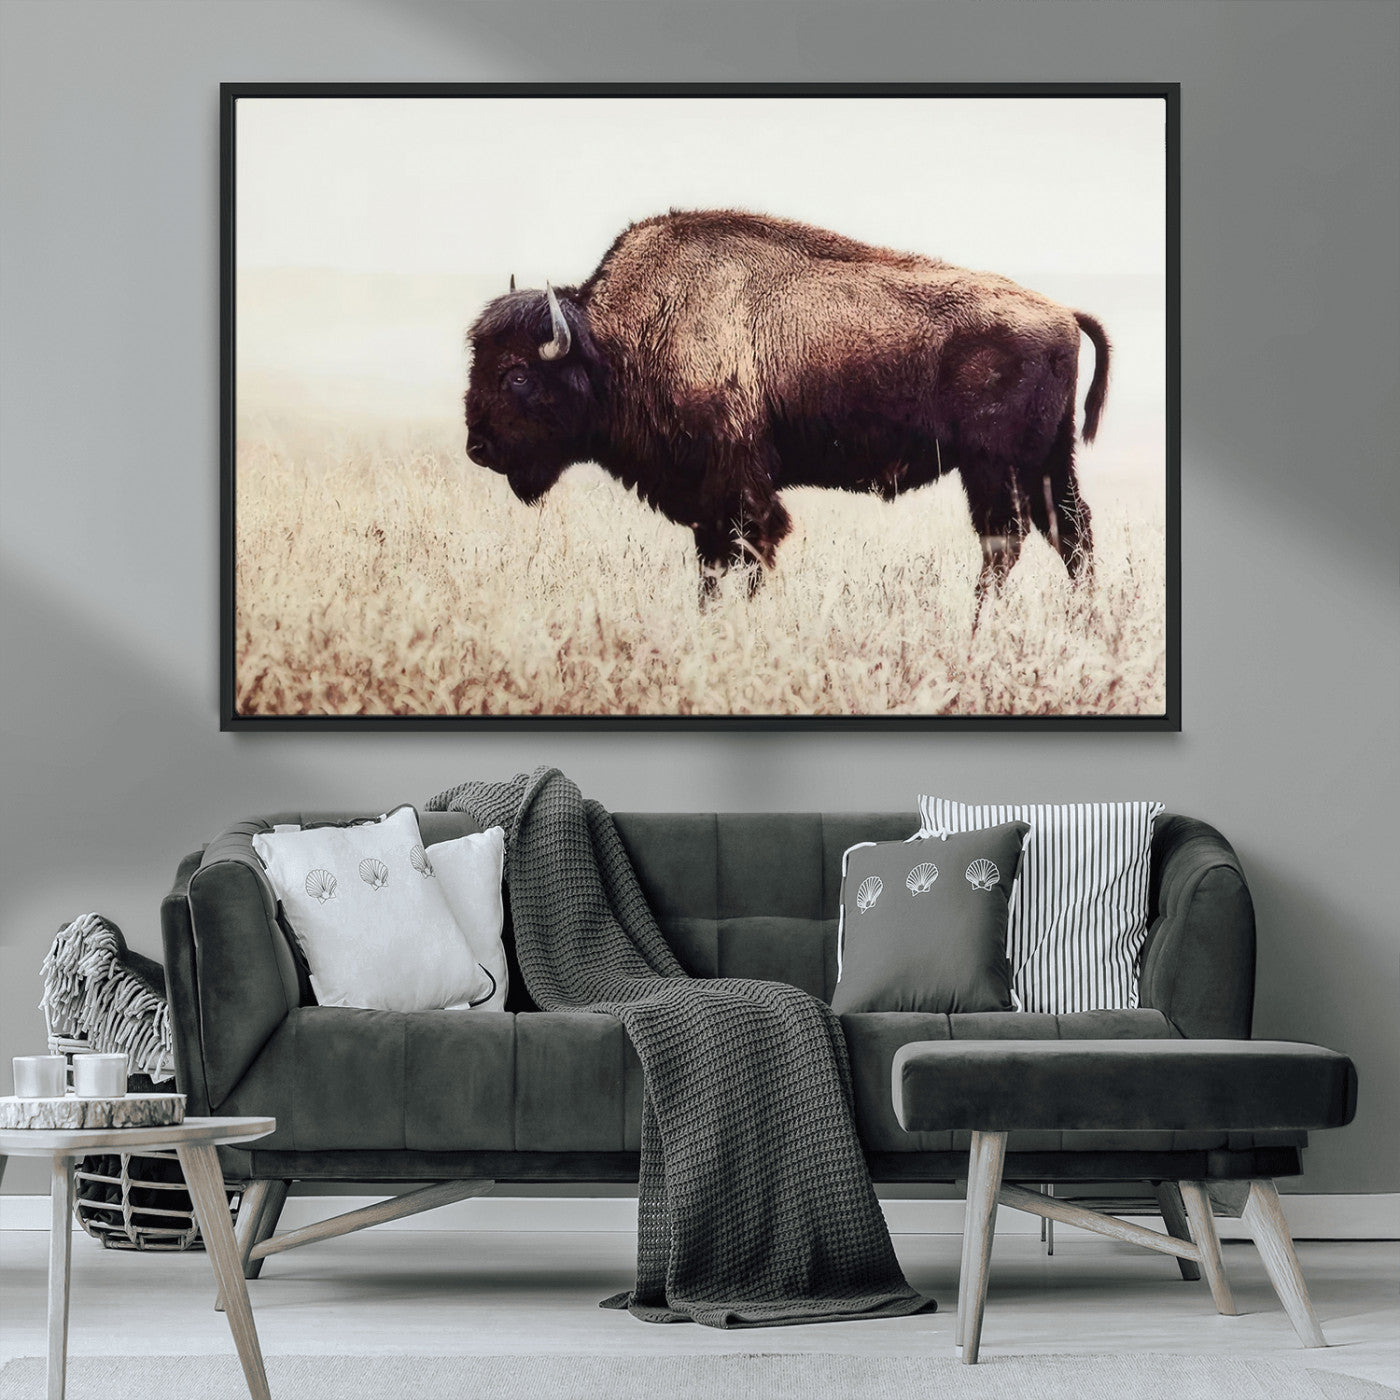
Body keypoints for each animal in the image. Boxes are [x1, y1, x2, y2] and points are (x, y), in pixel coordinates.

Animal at [464, 209, 1108, 610]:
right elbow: (712, 565)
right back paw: (1082, 624)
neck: (618, 341)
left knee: (1007, 540)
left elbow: (750, 551)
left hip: (993, 466)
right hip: (1047, 462)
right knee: (1069, 534)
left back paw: (977, 626)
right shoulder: (708, 502)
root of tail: (1063, 313)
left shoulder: (740, 487)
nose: (477, 448)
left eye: (517, 374)